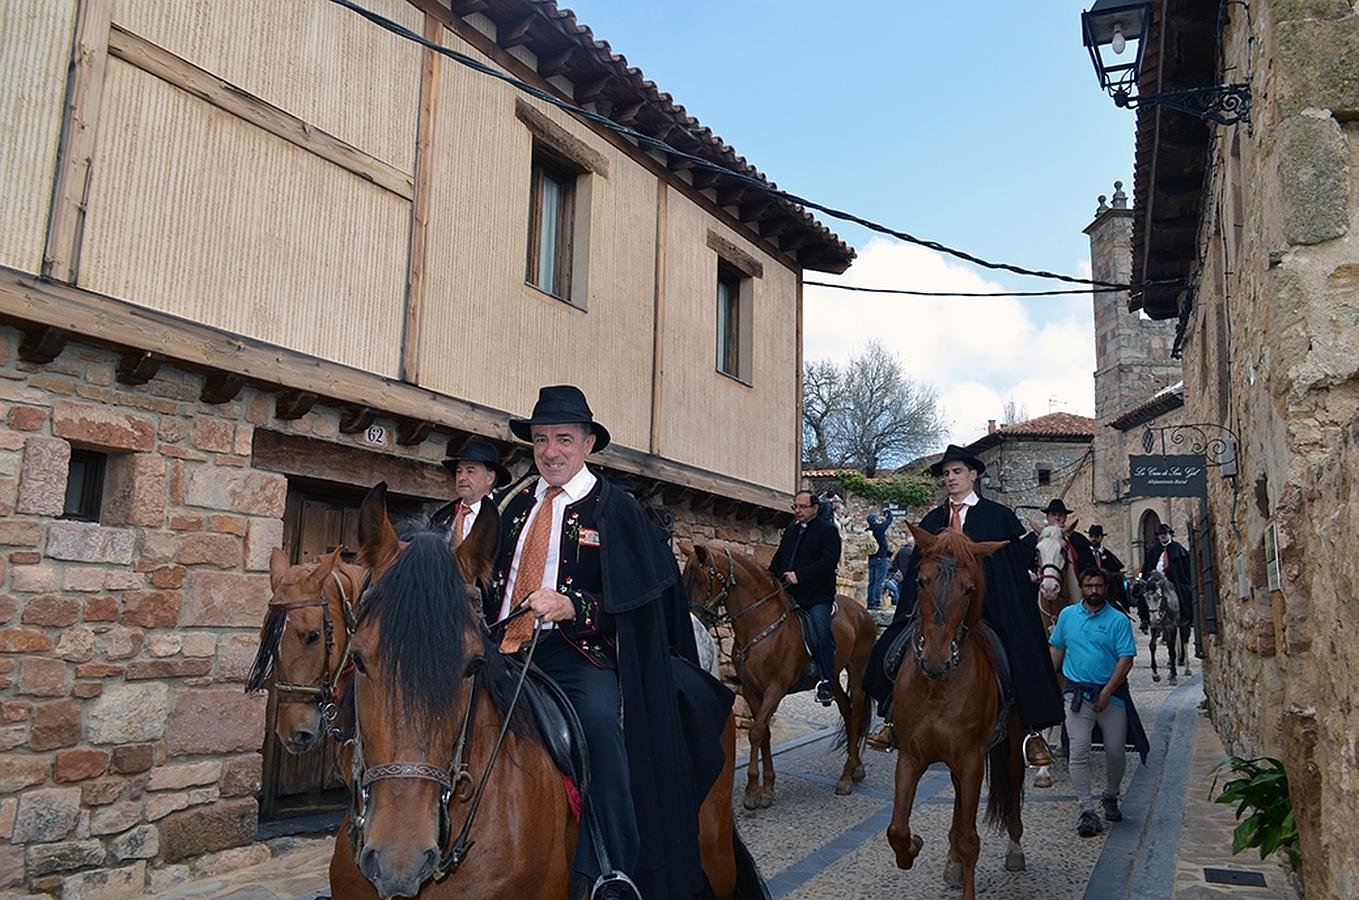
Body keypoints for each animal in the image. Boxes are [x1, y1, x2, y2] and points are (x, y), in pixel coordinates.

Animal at [684, 543, 875, 810]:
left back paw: (846, 777)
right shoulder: (752, 691)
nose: (693, 621)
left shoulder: (775, 689)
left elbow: (756, 732)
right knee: (847, 713)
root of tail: (861, 611)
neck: (761, 624)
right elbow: (764, 733)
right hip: (834, 677)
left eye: (702, 579)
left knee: (856, 714)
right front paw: (766, 789)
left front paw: (752, 791)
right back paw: (855, 767)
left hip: (858, 672)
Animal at [886, 522, 1021, 900]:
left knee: (1013, 783)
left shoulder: (972, 758)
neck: (937, 687)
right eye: (921, 581)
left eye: (969, 589)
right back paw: (952, 862)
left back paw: (1014, 849)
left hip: (1009, 746)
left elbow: (970, 840)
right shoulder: (910, 756)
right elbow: (897, 830)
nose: (936, 659)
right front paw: (912, 848)